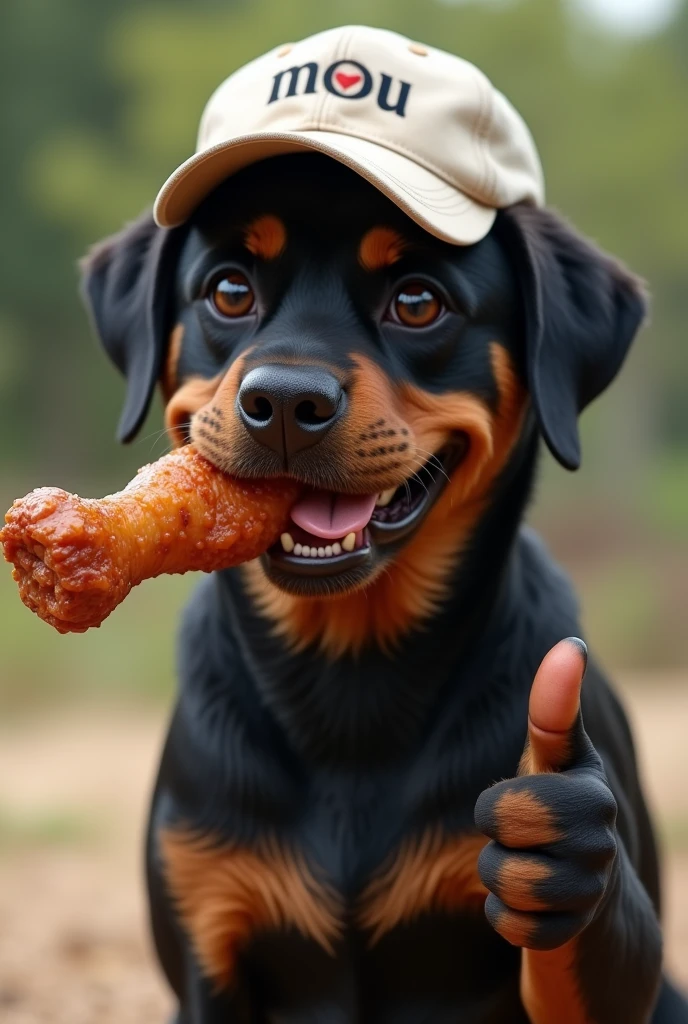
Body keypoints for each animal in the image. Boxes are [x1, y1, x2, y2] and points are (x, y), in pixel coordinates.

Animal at [76, 28, 688, 1024]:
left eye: (418, 301)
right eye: (229, 291)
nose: (286, 402)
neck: (348, 677)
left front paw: (561, 843)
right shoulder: (210, 927)